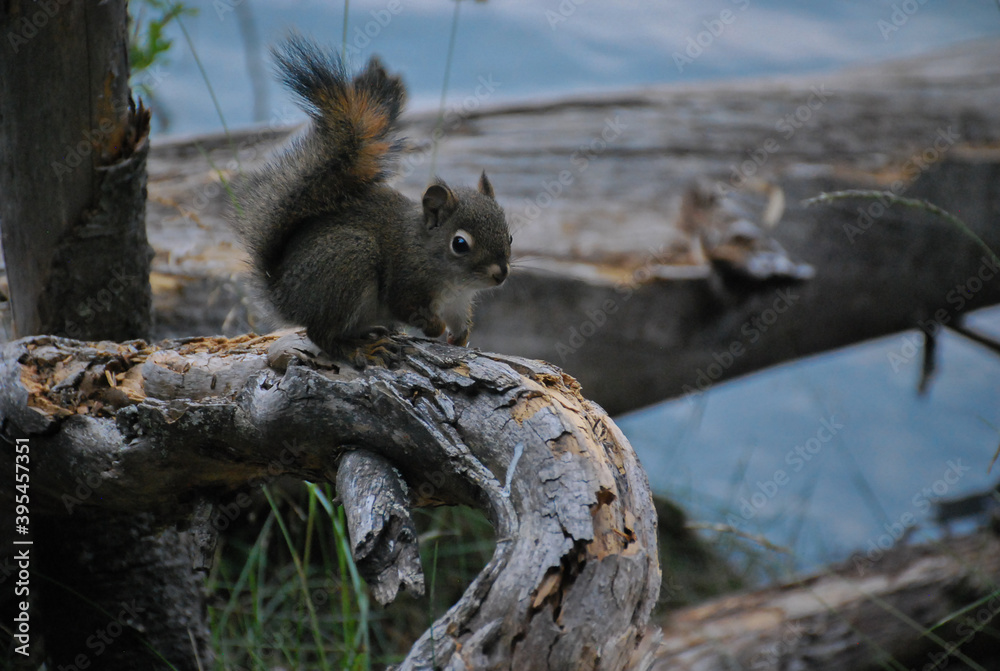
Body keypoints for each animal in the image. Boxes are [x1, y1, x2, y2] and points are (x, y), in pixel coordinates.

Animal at [230, 35, 511, 366]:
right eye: (460, 244)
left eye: (509, 236)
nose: (500, 274)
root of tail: (282, 292)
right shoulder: (405, 283)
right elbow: (405, 306)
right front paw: (434, 327)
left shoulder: (457, 301)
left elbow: (460, 321)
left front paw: (460, 337)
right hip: (349, 261)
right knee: (321, 334)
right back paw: (361, 349)